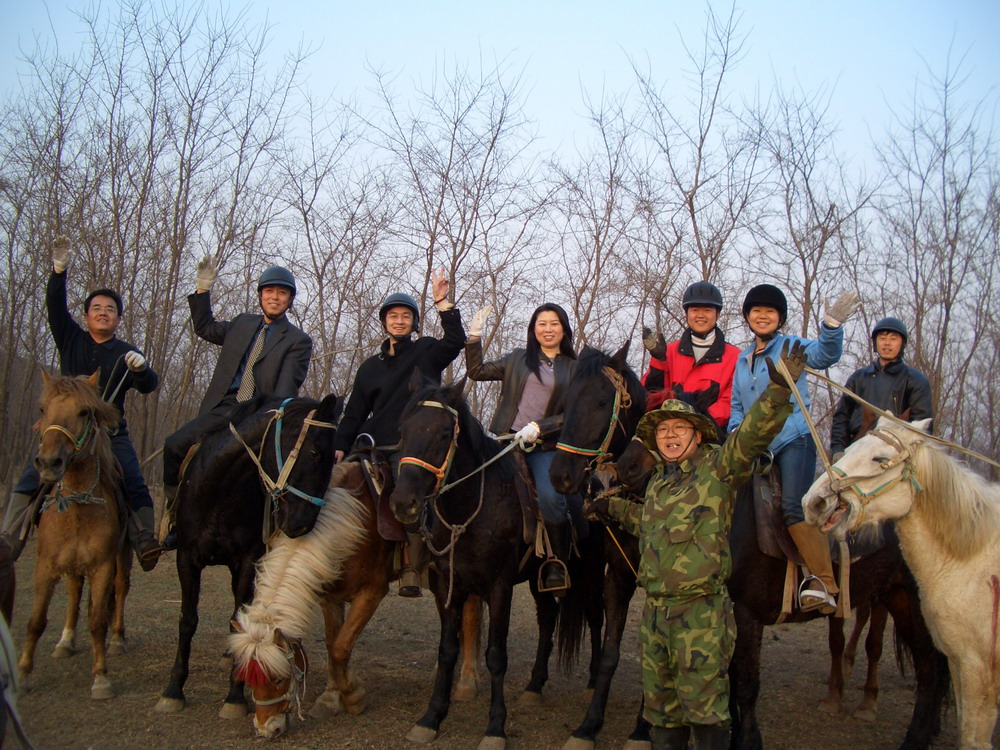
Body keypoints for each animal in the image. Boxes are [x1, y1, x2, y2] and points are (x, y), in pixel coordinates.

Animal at [18, 374, 131, 704]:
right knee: (73, 592)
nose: (49, 463)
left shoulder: (104, 565)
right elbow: (36, 621)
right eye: (42, 409)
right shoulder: (45, 565)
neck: (79, 506)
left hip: (122, 555)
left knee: (120, 590)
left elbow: (97, 622)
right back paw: (65, 641)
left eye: (83, 412)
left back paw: (117, 638)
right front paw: (23, 674)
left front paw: (101, 678)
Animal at [153, 394, 340, 716]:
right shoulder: (187, 558)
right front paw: (173, 690)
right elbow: (187, 620)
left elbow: (236, 619)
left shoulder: (246, 563)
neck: (221, 491)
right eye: (315, 452)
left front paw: (235, 696)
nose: (303, 524)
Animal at [394, 378, 604, 748]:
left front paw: (495, 727)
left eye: (444, 434)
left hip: (590, 575)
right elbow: (447, 650)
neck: (471, 508)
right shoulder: (448, 585)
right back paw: (534, 686)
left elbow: (495, 655)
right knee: (548, 619)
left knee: (595, 620)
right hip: (538, 579)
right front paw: (431, 718)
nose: (405, 504)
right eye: (403, 431)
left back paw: (593, 684)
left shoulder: (499, 587)